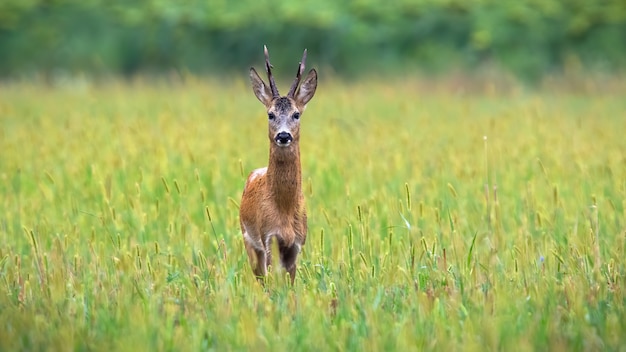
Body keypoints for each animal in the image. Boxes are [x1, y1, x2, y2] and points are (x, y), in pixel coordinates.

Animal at [239, 45, 316, 284]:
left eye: (296, 114)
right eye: (270, 114)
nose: (283, 135)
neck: (284, 208)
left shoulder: (297, 243)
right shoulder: (268, 237)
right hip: (249, 239)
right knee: (260, 278)